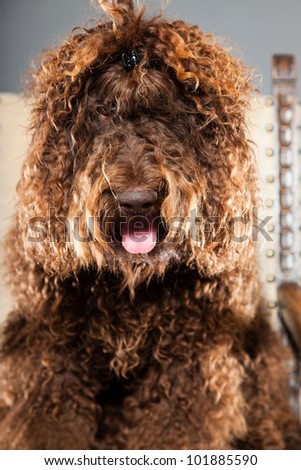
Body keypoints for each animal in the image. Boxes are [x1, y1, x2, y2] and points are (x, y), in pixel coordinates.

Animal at [0, 0, 300, 450]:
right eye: (101, 113)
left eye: (169, 115)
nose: (136, 200)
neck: (131, 283)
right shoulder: (52, 357)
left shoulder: (188, 363)